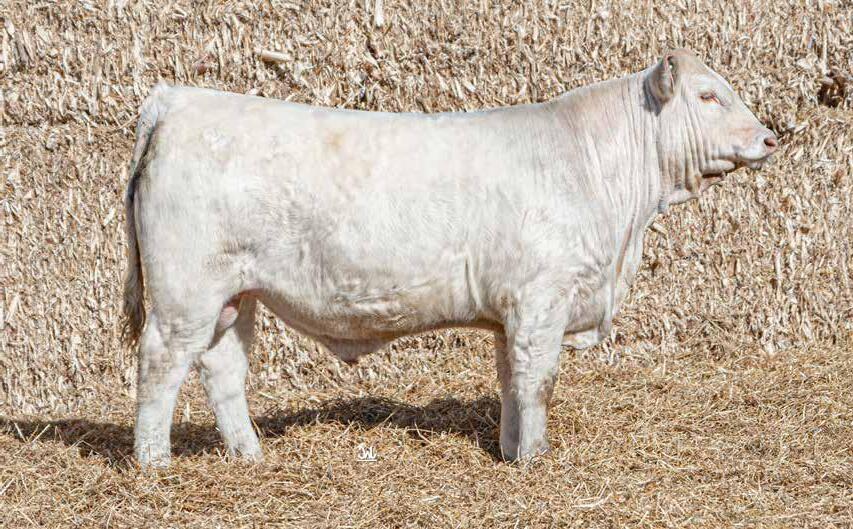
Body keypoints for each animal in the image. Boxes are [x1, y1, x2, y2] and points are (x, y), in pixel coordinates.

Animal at [122, 49, 777, 467]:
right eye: (709, 95)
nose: (770, 137)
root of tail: (177, 100)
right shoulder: (542, 297)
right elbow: (539, 380)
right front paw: (538, 459)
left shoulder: (513, 310)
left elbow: (512, 379)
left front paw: (513, 452)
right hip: (185, 291)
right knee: (160, 364)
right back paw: (155, 463)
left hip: (235, 294)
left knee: (222, 368)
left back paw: (251, 455)